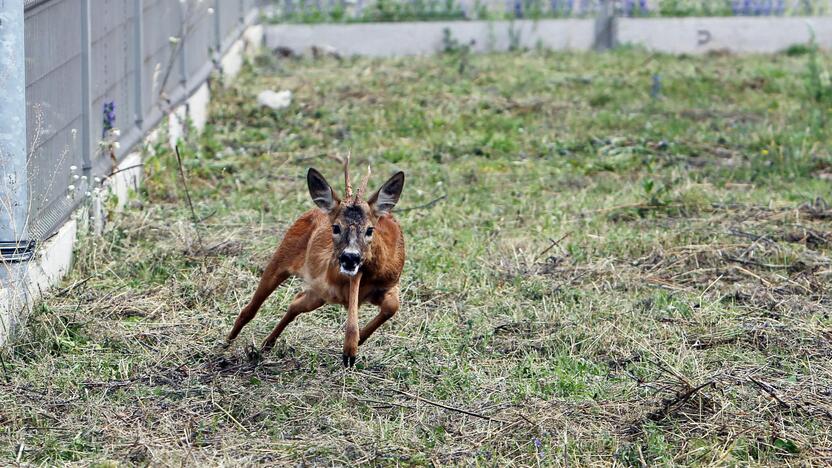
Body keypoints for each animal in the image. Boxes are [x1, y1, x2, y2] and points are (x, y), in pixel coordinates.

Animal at [228, 159, 406, 368]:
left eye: (370, 229)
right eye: (336, 227)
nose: (350, 257)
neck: (374, 274)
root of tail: (314, 209)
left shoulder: (389, 284)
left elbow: (392, 306)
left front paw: (357, 342)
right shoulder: (335, 278)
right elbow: (355, 291)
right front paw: (350, 350)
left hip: (318, 295)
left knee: (296, 303)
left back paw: (266, 345)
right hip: (282, 258)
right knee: (250, 309)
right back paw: (227, 344)